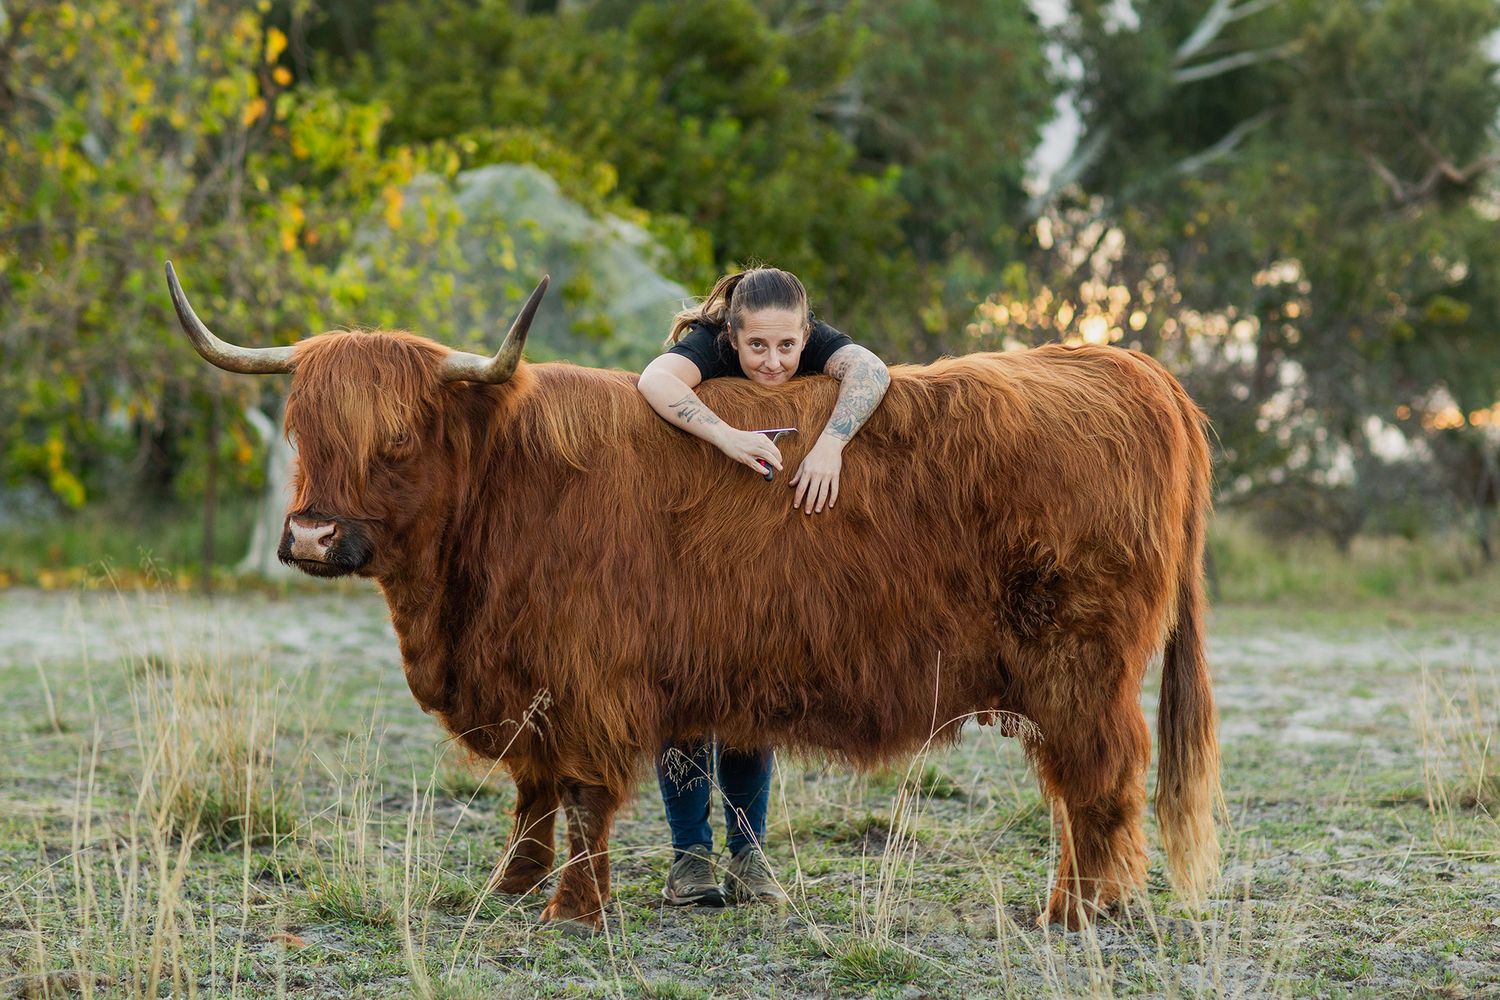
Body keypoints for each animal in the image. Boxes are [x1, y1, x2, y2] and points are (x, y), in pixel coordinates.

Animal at [164, 261, 1220, 932]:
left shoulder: (587, 677)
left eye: (399, 437)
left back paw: (1077, 909)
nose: (311, 538)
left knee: (1102, 777)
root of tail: (1122, 364)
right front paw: (512, 884)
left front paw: (574, 910)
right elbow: (531, 790)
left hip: (1080, 665)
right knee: (1086, 785)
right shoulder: (531, 679)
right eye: (301, 428)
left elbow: (581, 793)